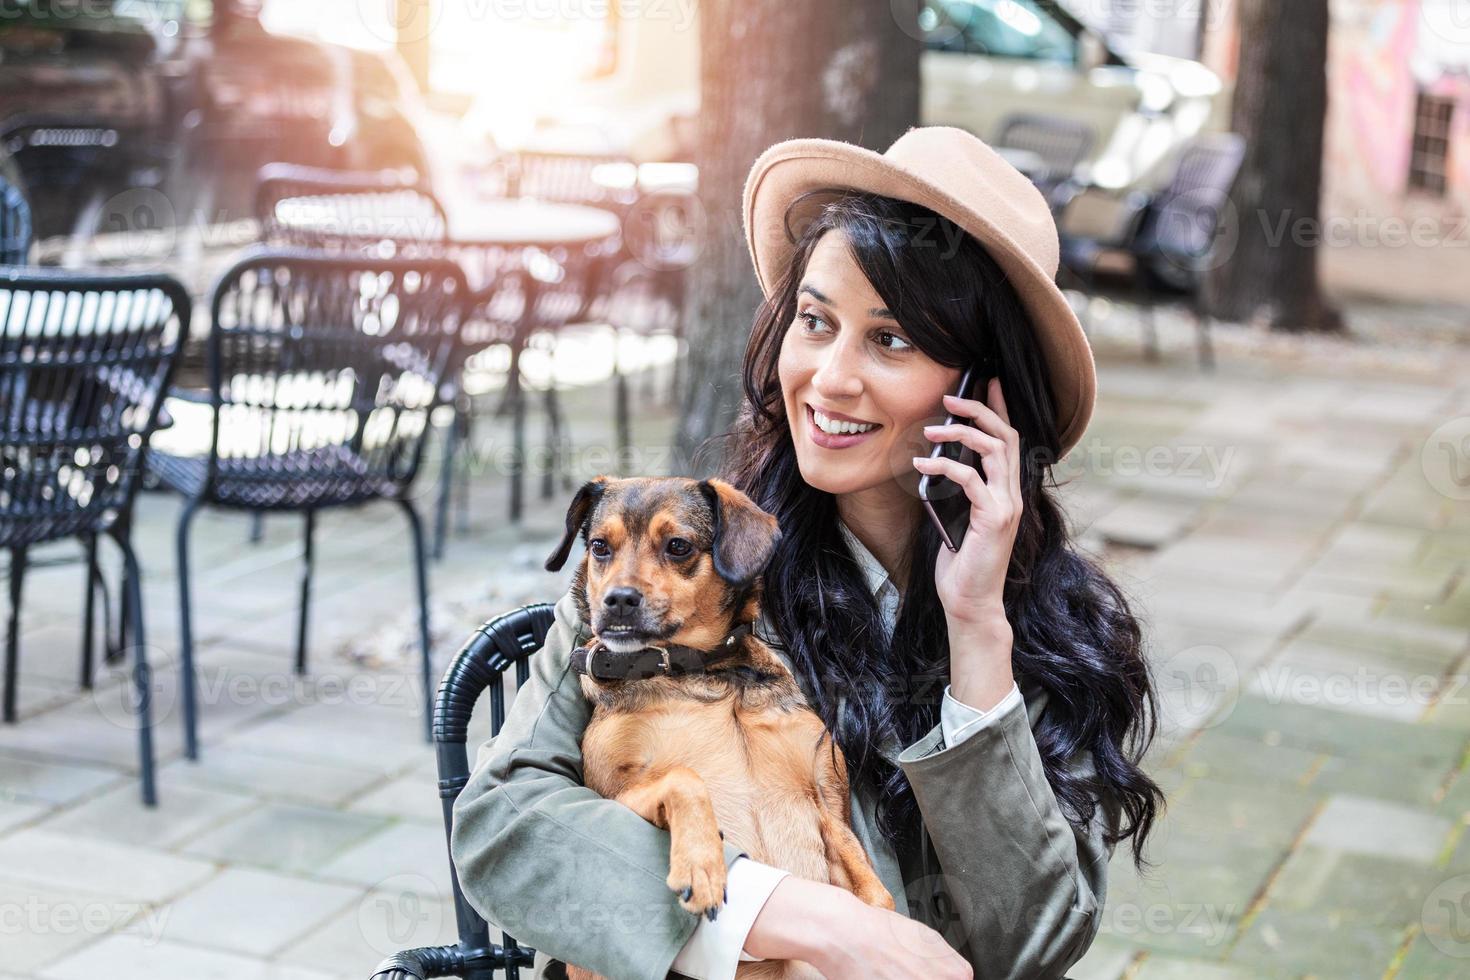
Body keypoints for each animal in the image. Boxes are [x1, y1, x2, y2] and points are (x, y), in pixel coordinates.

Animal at [543, 473, 893, 975]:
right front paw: (702, 864)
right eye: (598, 546)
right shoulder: (609, 797)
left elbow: (877, 896)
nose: (618, 600)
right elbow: (683, 777)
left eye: (678, 546)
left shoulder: (828, 805)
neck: (702, 673)